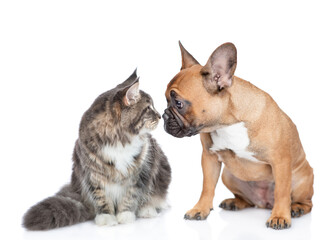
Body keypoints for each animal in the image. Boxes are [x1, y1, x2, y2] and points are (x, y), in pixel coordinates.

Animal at [23, 69, 172, 231]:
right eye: (148, 109)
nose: (160, 116)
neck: (119, 140)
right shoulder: (92, 173)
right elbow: (101, 198)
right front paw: (107, 218)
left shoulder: (142, 169)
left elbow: (131, 195)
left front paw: (125, 216)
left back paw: (147, 210)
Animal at [163, 42, 314, 230]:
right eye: (166, 99)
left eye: (178, 103)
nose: (164, 115)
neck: (227, 124)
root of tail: (265, 203)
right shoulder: (209, 158)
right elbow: (207, 186)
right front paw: (200, 209)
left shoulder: (280, 161)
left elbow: (282, 191)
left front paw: (280, 216)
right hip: (228, 175)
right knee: (247, 200)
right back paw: (234, 202)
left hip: (301, 179)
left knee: (306, 202)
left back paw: (296, 208)